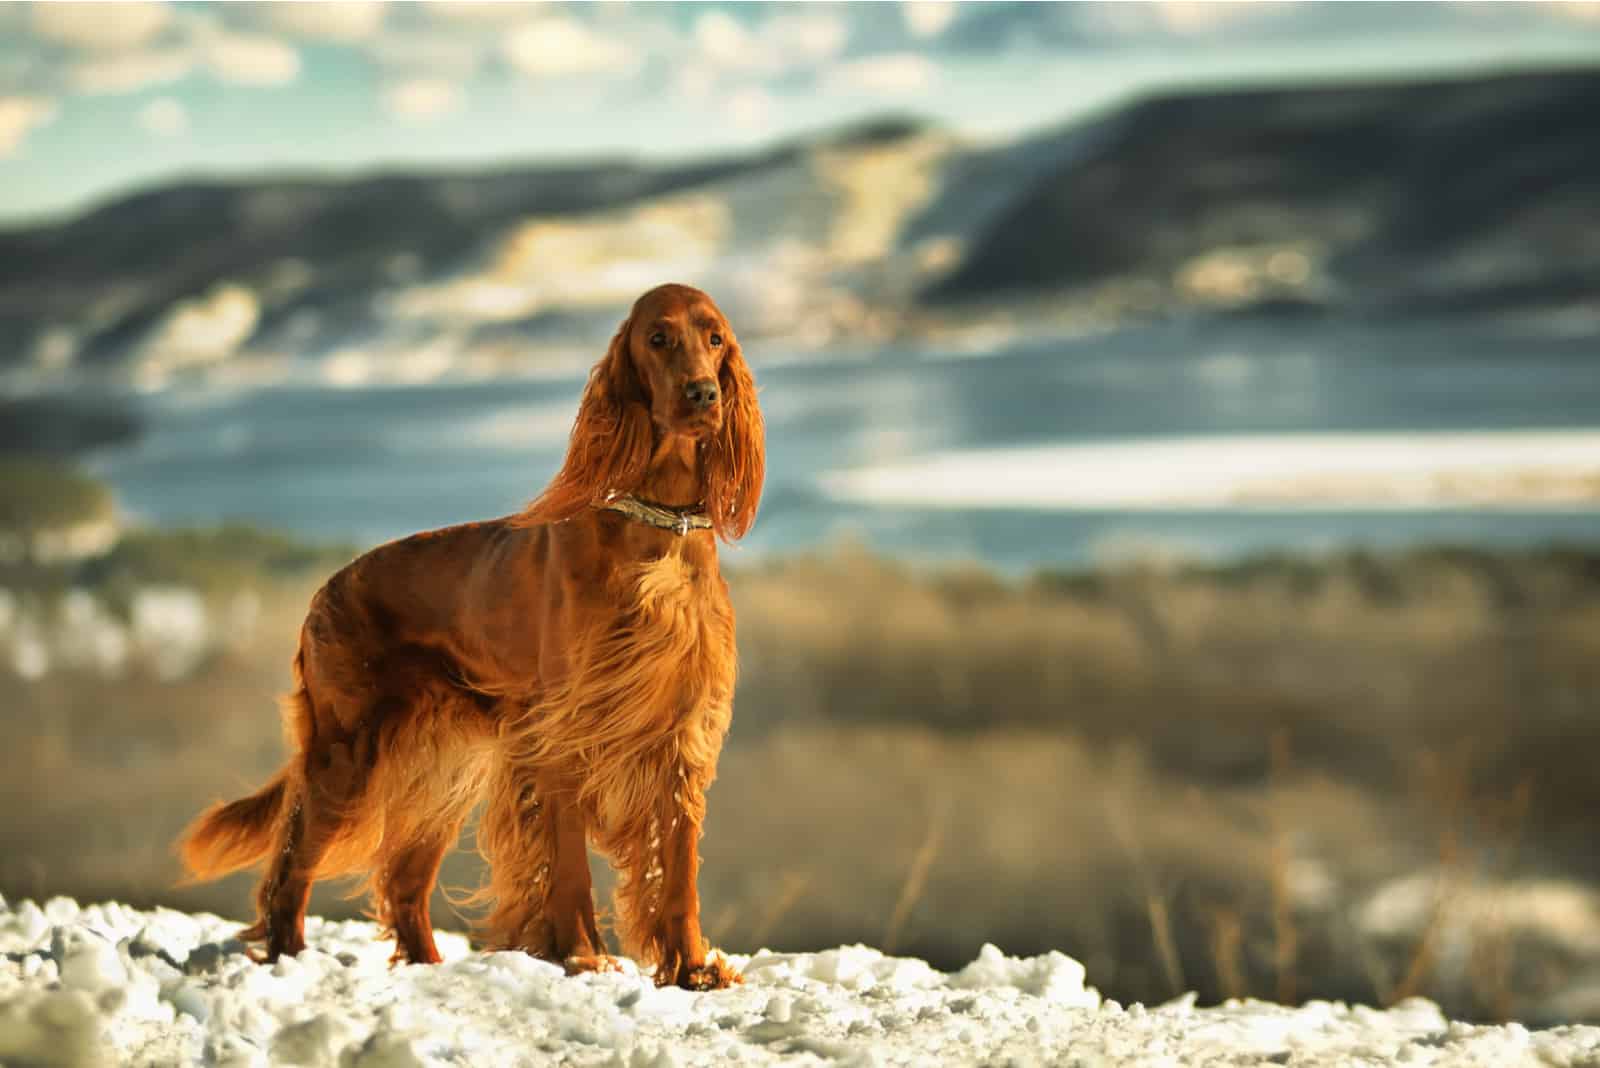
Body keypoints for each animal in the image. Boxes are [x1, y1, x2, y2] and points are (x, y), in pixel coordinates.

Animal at [181, 282, 761, 991]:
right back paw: (290, 959)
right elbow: (568, 865)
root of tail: (324, 591)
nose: (703, 394)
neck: (659, 531)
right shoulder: (560, 736)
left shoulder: (679, 733)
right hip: (348, 753)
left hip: (440, 770)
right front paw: (582, 956)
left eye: (715, 339)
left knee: (402, 882)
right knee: (291, 864)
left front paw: (692, 969)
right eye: (658, 338)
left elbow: (676, 869)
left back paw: (426, 968)